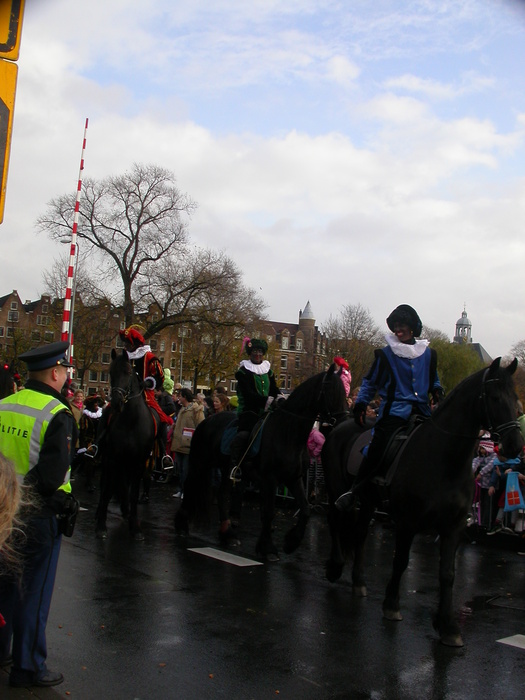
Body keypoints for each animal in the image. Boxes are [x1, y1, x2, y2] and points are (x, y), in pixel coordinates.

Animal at [95, 350, 156, 540]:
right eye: (110, 373)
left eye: (128, 372)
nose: (116, 402)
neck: (131, 420)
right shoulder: (113, 458)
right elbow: (107, 489)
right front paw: (101, 526)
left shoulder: (139, 462)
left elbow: (134, 493)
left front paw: (135, 528)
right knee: (107, 485)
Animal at [176, 364, 348, 560]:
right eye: (330, 389)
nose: (344, 420)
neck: (288, 433)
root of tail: (207, 421)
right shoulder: (270, 479)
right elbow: (268, 512)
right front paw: (268, 548)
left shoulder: (294, 478)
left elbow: (305, 509)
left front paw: (291, 543)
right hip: (200, 463)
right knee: (190, 485)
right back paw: (182, 525)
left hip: (225, 469)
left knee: (221, 494)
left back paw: (227, 534)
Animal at [322, 358, 520, 648]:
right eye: (494, 397)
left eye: (515, 399)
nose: (515, 445)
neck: (446, 459)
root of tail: (343, 423)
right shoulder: (407, 521)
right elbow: (401, 561)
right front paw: (392, 604)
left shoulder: (454, 527)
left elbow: (447, 573)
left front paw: (448, 626)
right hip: (336, 487)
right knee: (335, 522)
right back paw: (335, 566)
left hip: (368, 501)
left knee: (359, 534)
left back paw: (358, 581)